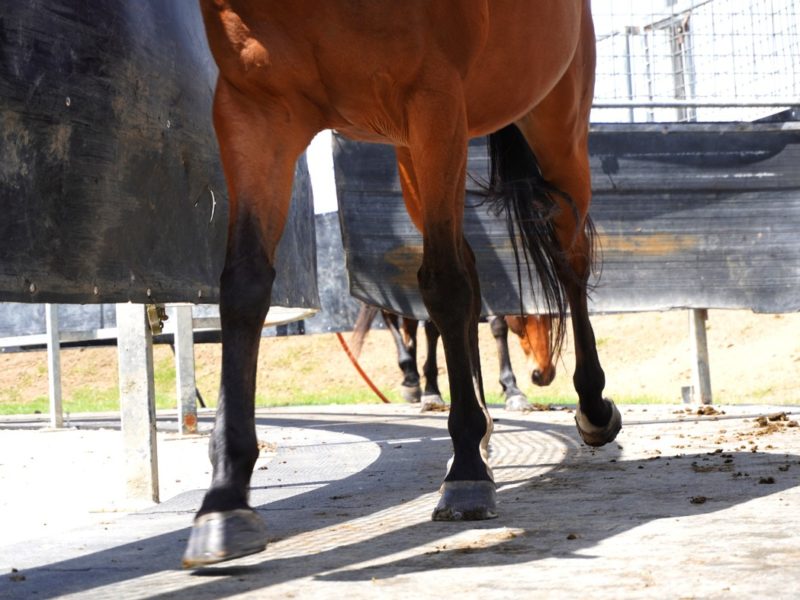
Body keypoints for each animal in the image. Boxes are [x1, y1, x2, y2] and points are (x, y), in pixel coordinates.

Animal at [186, 0, 622, 567]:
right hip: (415, 154)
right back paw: (485, 424)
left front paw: (466, 472)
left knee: (569, 259)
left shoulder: (433, 100)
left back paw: (591, 407)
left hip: (551, 123)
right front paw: (224, 499)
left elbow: (444, 285)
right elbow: (244, 286)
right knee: (473, 266)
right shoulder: (255, 111)